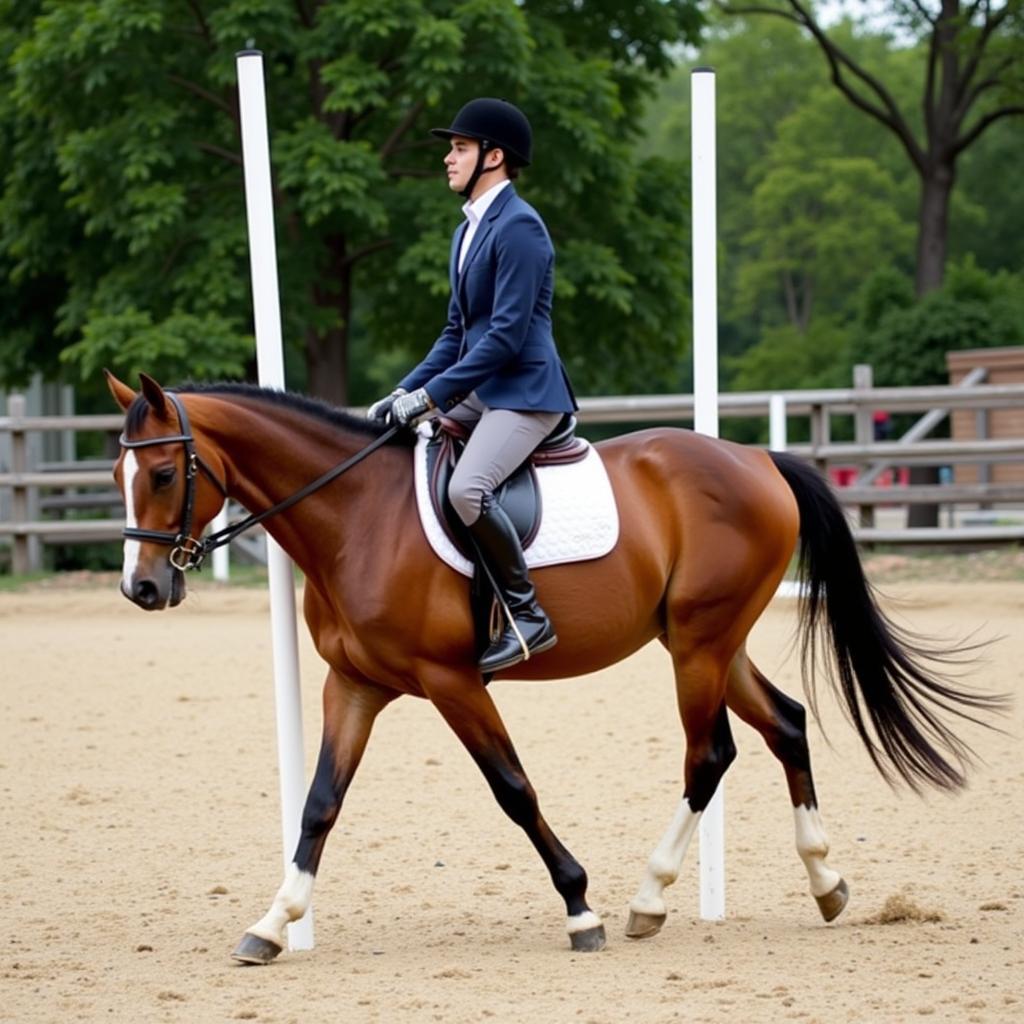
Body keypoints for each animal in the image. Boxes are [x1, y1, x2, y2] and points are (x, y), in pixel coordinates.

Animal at [105, 372, 999, 962]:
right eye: (118, 474)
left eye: (163, 473)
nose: (141, 588)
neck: (356, 517)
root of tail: (755, 458)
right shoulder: (353, 686)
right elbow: (321, 802)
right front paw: (273, 920)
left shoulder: (452, 680)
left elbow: (514, 790)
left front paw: (579, 907)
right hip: (708, 640)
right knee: (785, 723)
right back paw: (824, 881)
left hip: (699, 646)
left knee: (710, 754)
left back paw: (646, 899)